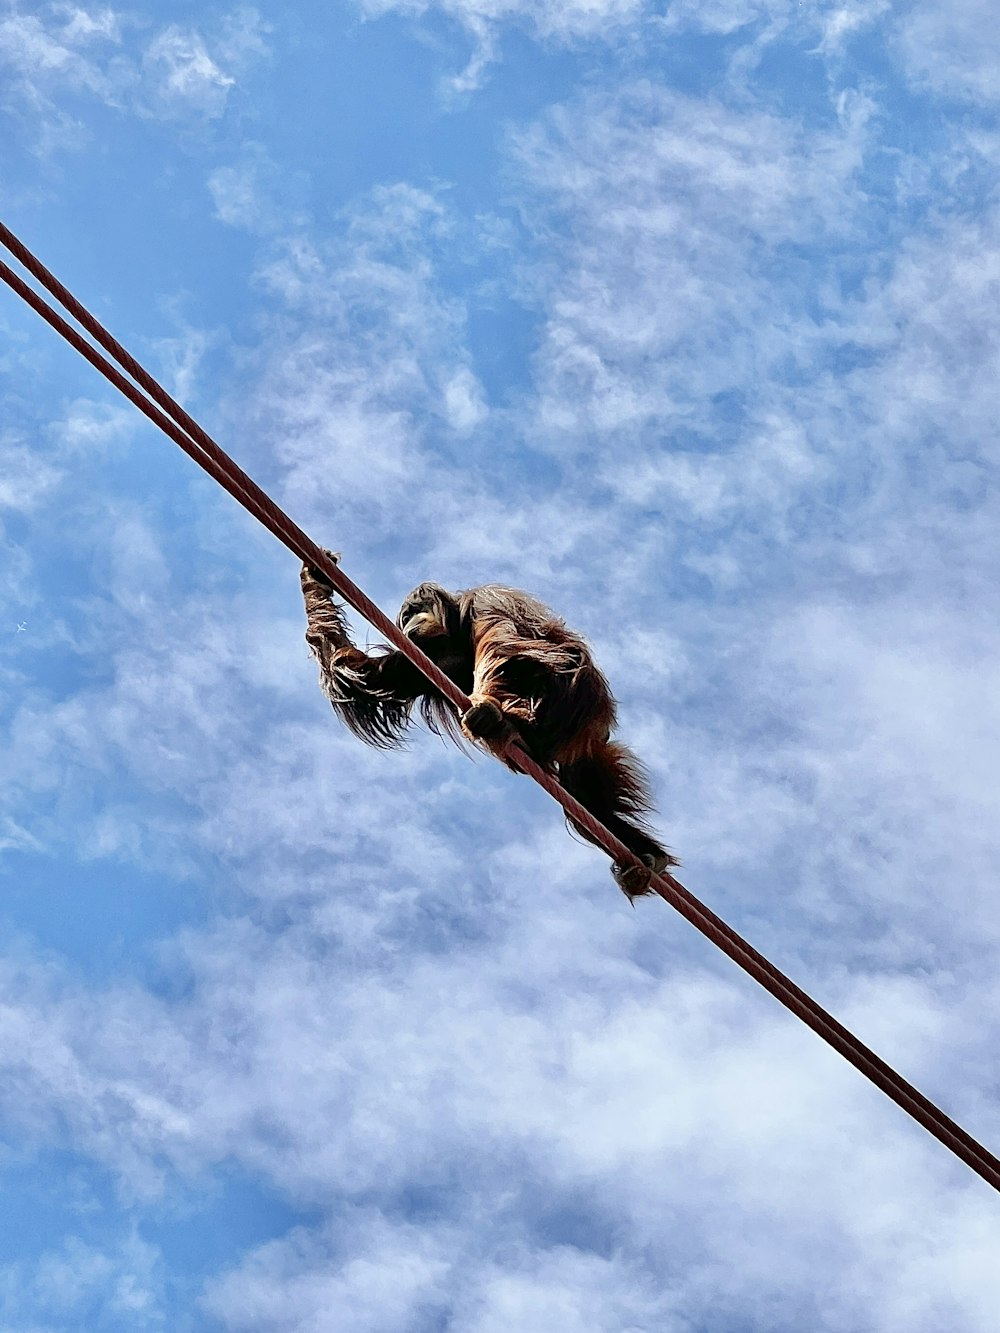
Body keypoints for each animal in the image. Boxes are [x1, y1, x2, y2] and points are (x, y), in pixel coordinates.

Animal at [301, 551, 677, 895]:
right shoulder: (419, 658)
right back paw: (645, 857)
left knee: (535, 663)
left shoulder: (483, 600)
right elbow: (362, 676)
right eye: (404, 618)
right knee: (584, 800)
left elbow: (500, 639)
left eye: (414, 611)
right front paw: (315, 580)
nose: (407, 624)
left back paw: (505, 723)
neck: (452, 632)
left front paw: (487, 707)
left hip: (578, 704)